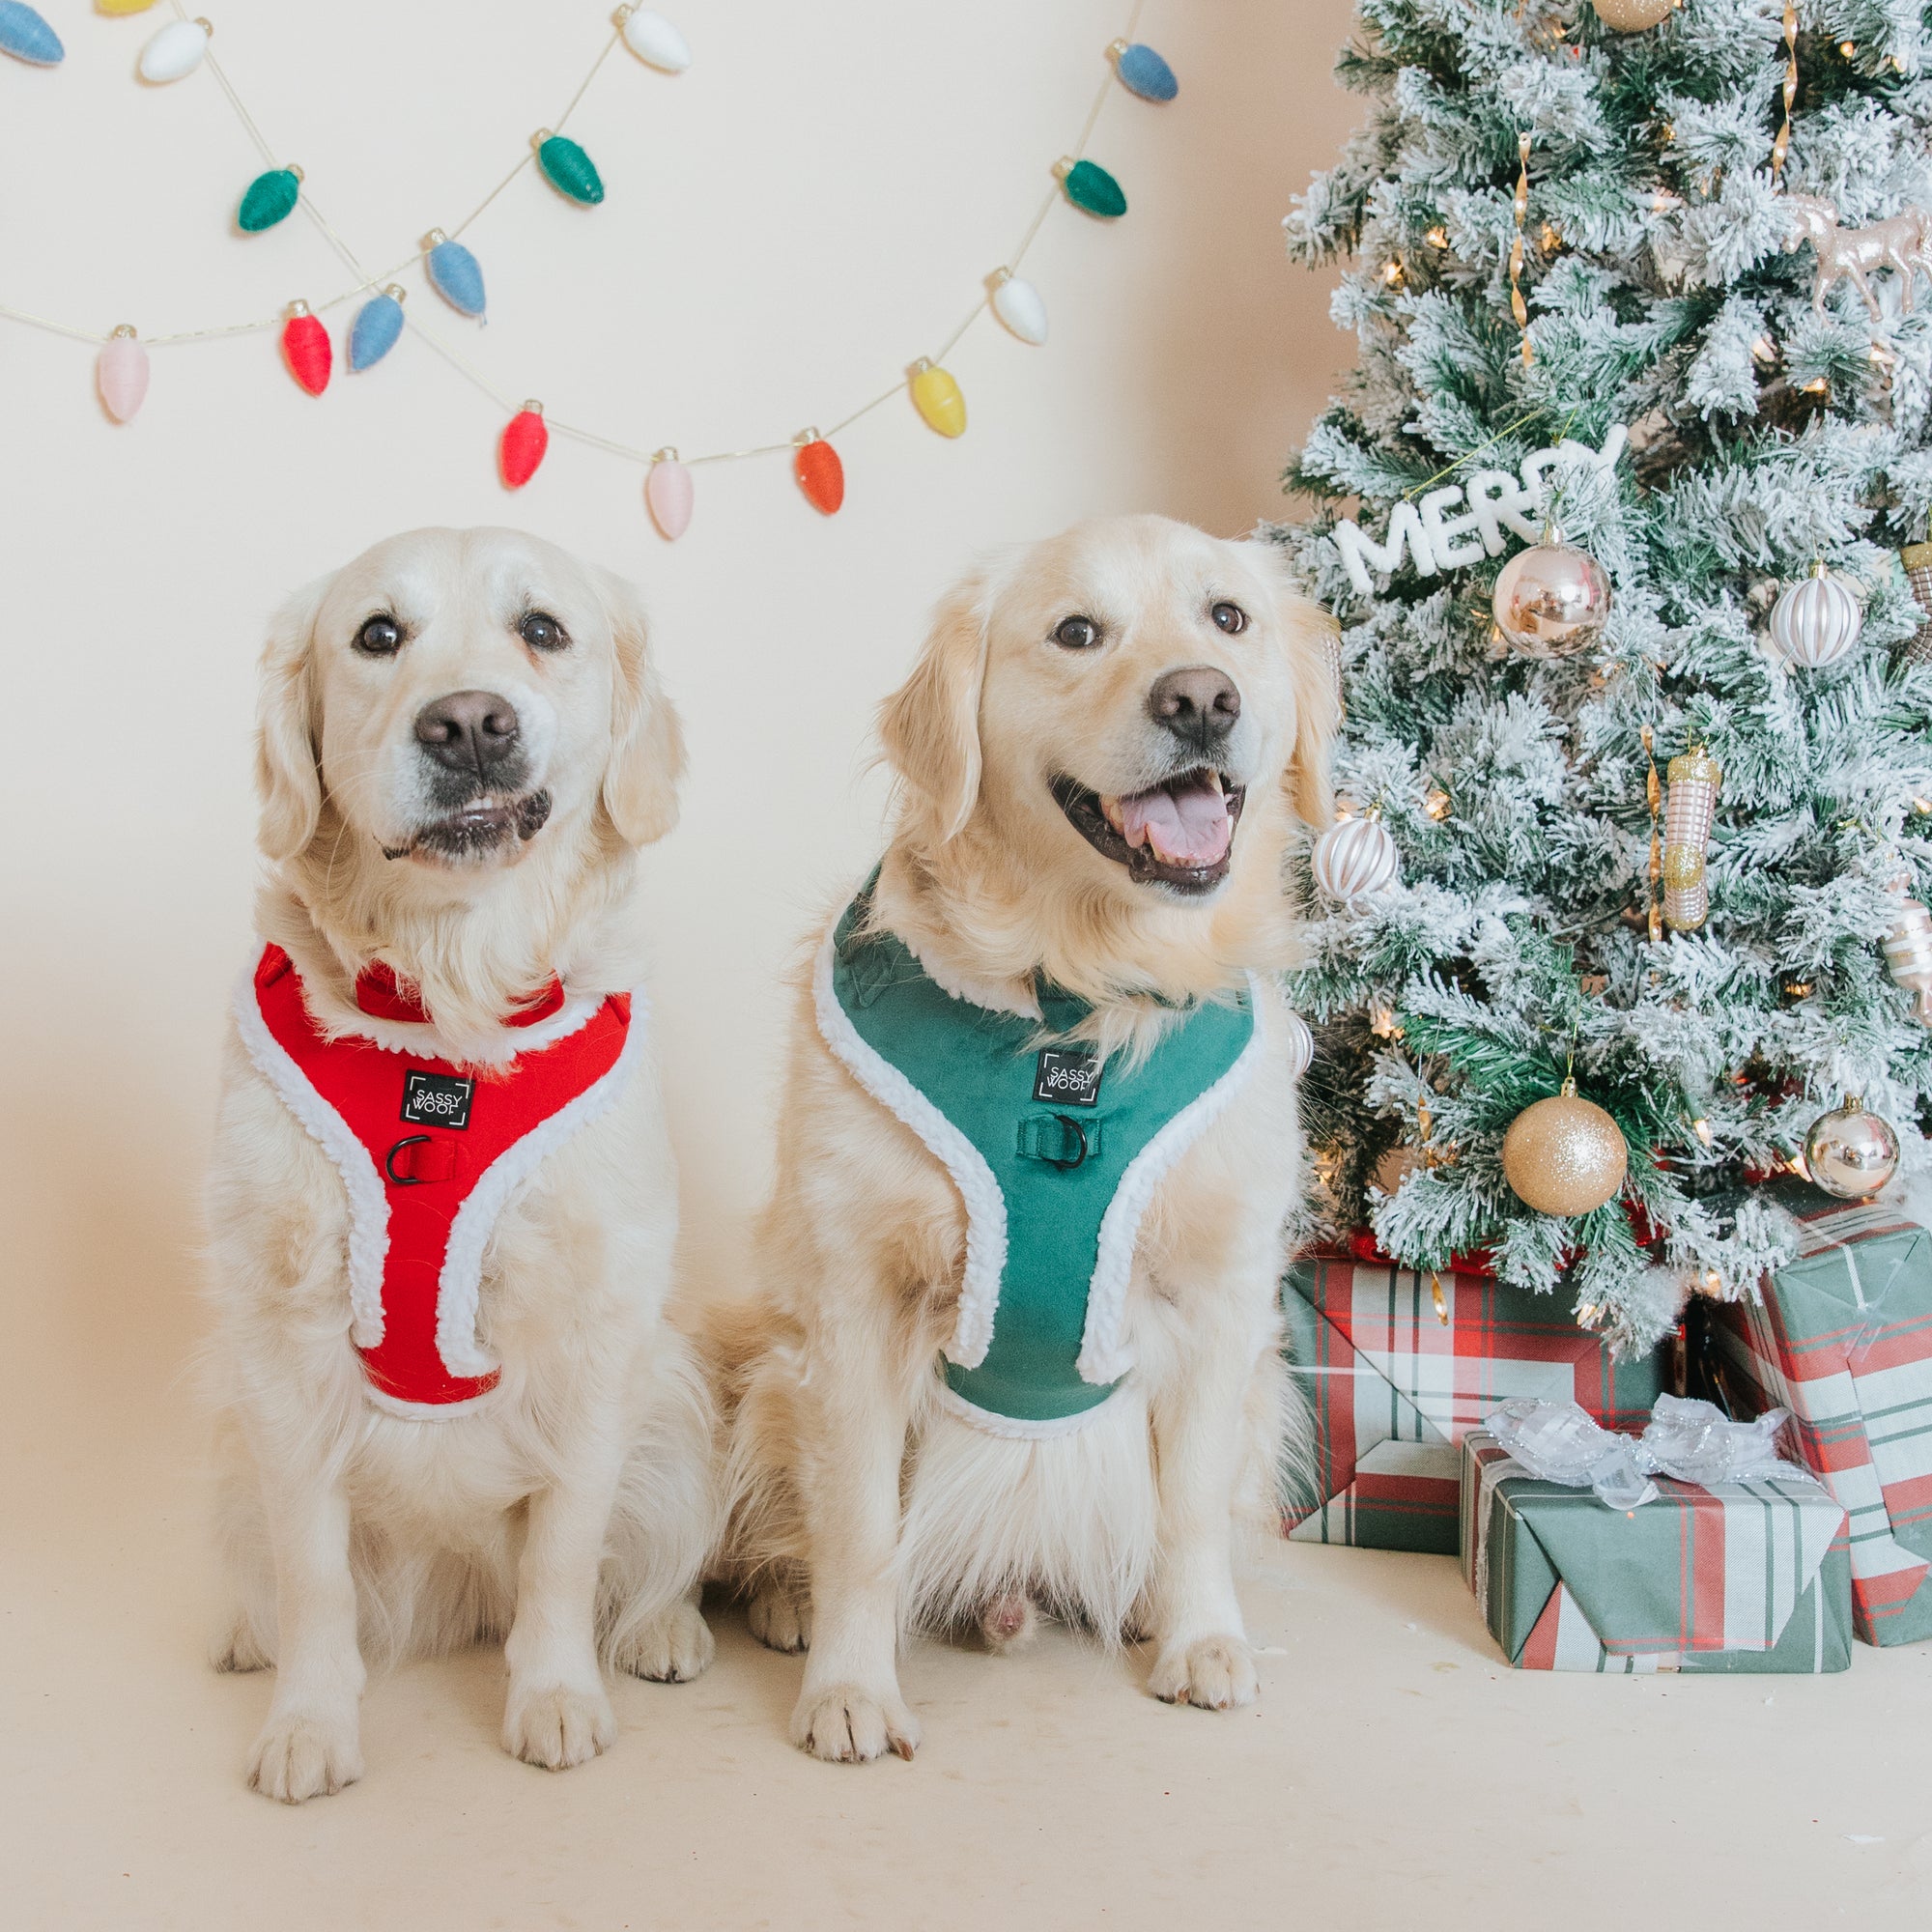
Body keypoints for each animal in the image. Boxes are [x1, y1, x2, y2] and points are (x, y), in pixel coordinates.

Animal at [206, 526, 719, 1793]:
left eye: (542, 629)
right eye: (377, 634)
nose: (470, 723)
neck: (447, 1006)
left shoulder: (594, 1328)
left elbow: (565, 1553)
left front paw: (554, 1696)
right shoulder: (280, 1343)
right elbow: (312, 1571)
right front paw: (310, 1720)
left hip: (674, 1400)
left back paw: (666, 1628)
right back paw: (247, 1633)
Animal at [726, 514, 1345, 1770]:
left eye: (1227, 618)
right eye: (1074, 632)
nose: (1199, 700)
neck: (1077, 996)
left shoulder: (1220, 1299)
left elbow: (1190, 1503)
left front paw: (1201, 1637)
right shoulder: (851, 1303)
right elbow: (856, 1527)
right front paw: (850, 1686)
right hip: (772, 1370)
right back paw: (786, 1600)